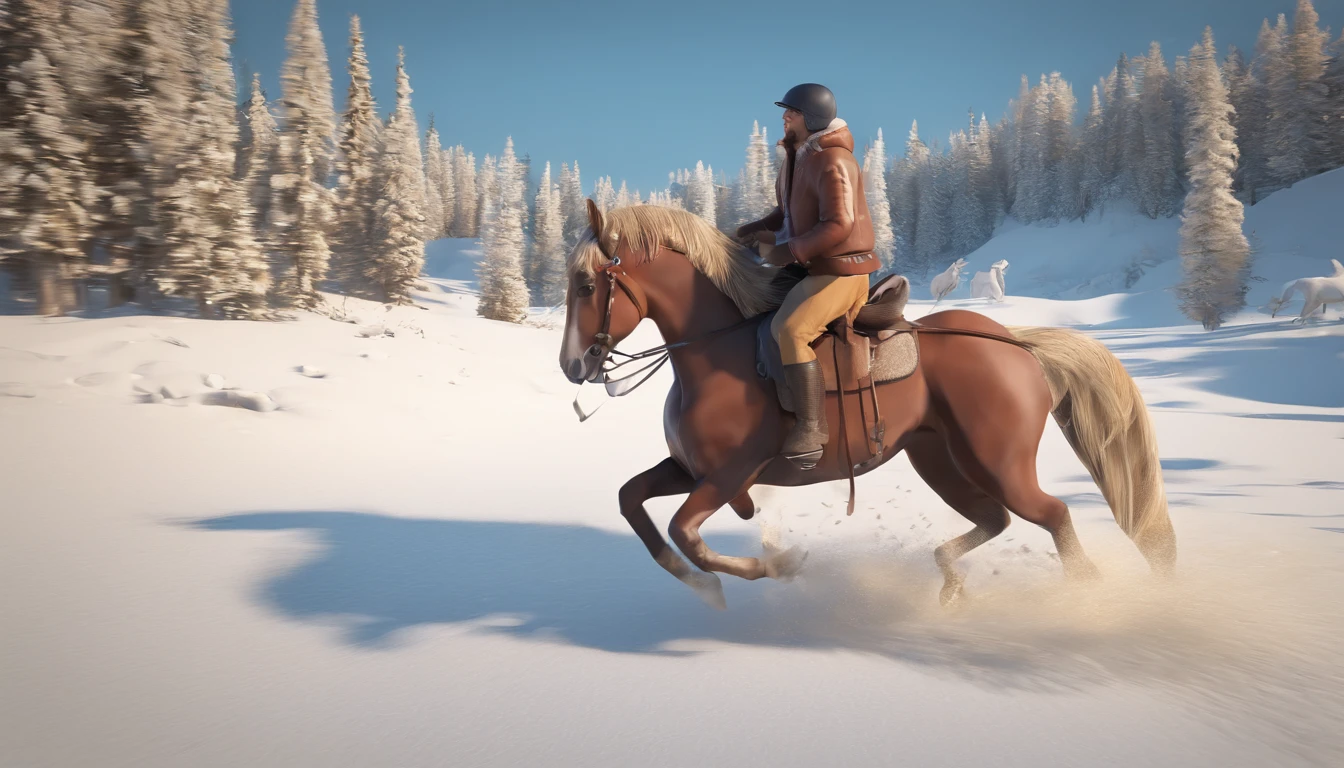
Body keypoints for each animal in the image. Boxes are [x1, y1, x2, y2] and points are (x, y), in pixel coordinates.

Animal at [559, 201, 1177, 610]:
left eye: (587, 286)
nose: (573, 365)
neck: (716, 353)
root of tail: (1013, 343)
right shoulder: (689, 469)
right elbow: (633, 503)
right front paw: (703, 584)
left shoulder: (730, 473)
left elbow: (687, 532)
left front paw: (775, 564)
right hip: (939, 460)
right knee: (995, 519)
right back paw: (949, 583)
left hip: (998, 461)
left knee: (1052, 516)